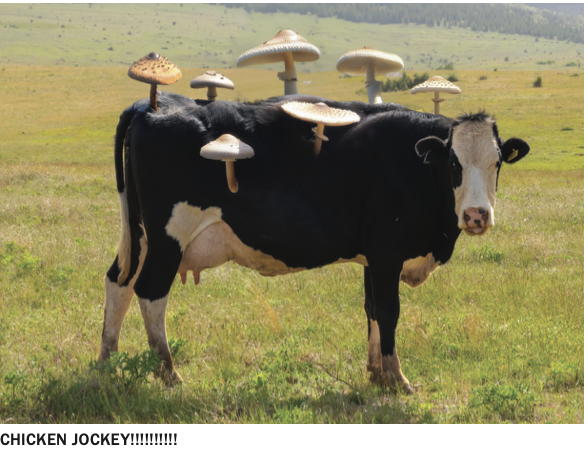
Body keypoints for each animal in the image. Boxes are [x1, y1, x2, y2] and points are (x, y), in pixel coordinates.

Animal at [99, 92, 529, 394]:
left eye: (496, 162)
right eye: (454, 164)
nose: (476, 215)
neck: (413, 163)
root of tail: (152, 104)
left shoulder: (372, 257)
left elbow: (371, 310)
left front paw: (376, 373)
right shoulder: (387, 252)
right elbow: (388, 312)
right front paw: (397, 379)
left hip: (140, 234)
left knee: (118, 282)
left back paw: (107, 359)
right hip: (168, 237)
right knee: (150, 292)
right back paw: (169, 373)